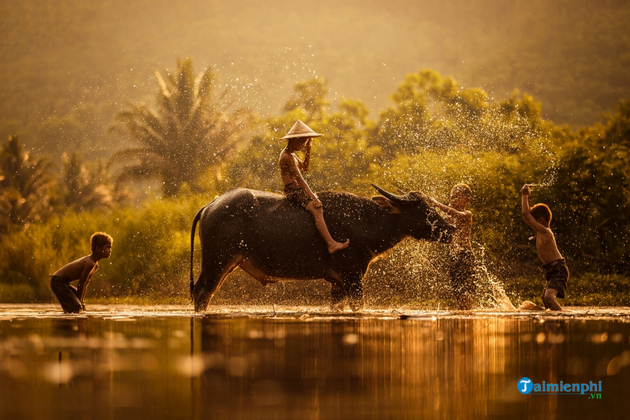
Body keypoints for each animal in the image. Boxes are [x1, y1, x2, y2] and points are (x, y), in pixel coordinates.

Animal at [189, 185, 454, 312]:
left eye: (431, 206)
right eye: (421, 210)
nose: (450, 228)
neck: (365, 222)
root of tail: (211, 205)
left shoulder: (338, 283)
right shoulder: (353, 277)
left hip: (227, 264)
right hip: (215, 263)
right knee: (202, 293)